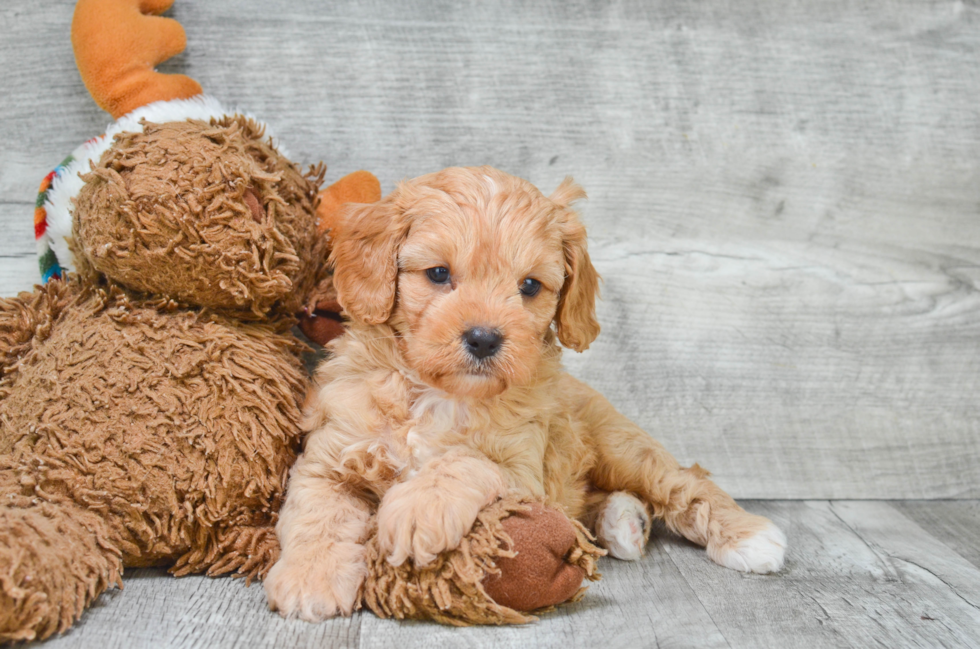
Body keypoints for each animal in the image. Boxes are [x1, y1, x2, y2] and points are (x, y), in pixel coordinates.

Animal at [264, 165, 784, 620]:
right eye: (438, 274)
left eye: (530, 286)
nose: (483, 338)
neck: (438, 394)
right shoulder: (330, 454)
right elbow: (319, 514)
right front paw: (310, 580)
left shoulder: (524, 470)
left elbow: (466, 460)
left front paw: (418, 507)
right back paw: (623, 523)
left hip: (622, 448)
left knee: (684, 484)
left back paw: (749, 536)